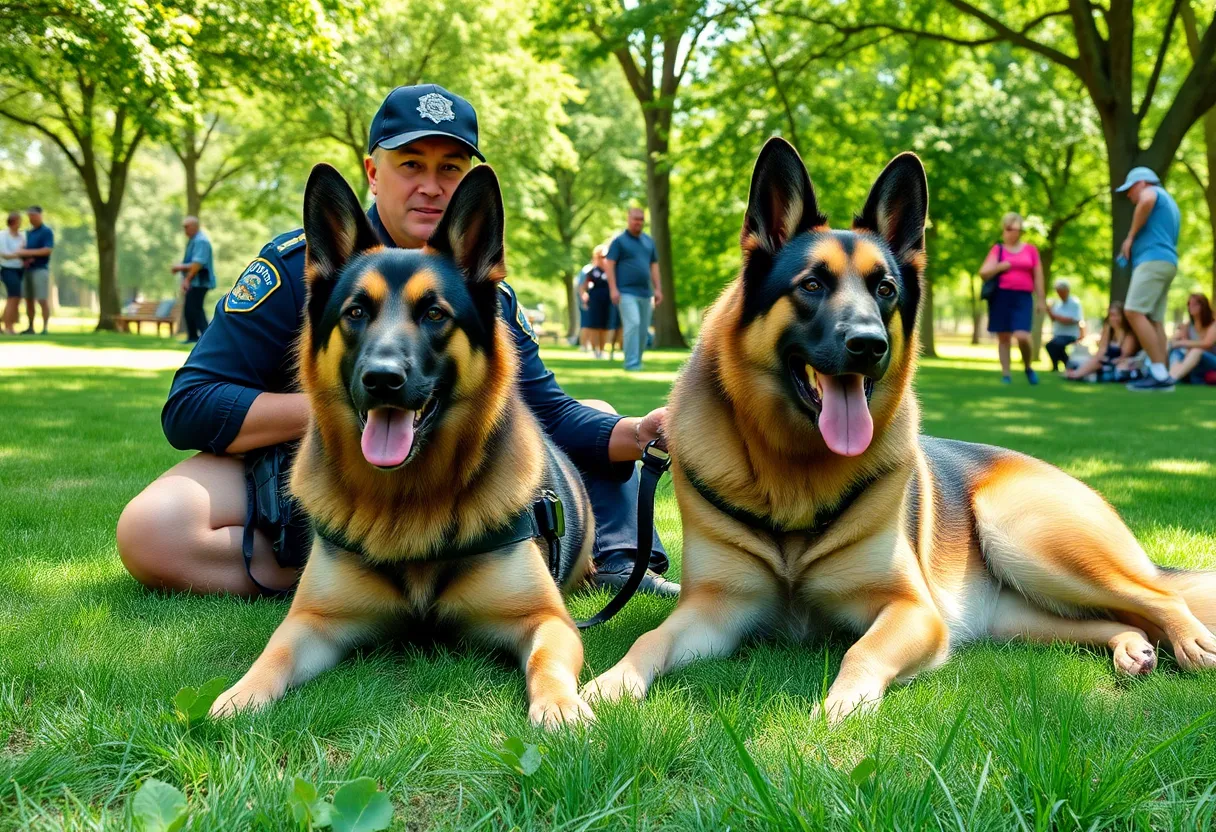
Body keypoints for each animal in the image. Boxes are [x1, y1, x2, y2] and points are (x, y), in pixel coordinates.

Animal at [215, 164, 603, 729]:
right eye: (356, 311)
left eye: (435, 313)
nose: (382, 379)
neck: (409, 500)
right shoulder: (312, 620)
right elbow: (274, 652)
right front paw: (240, 694)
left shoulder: (547, 619)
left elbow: (547, 661)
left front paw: (560, 705)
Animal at [583, 138, 1211, 720]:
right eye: (812, 285)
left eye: (884, 290)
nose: (869, 344)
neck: (794, 468)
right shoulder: (712, 610)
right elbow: (650, 638)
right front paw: (608, 683)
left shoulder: (913, 612)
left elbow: (859, 651)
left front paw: (842, 705)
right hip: (1023, 613)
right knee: (1121, 619)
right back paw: (1131, 647)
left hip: (1031, 539)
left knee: (1158, 597)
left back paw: (1191, 640)